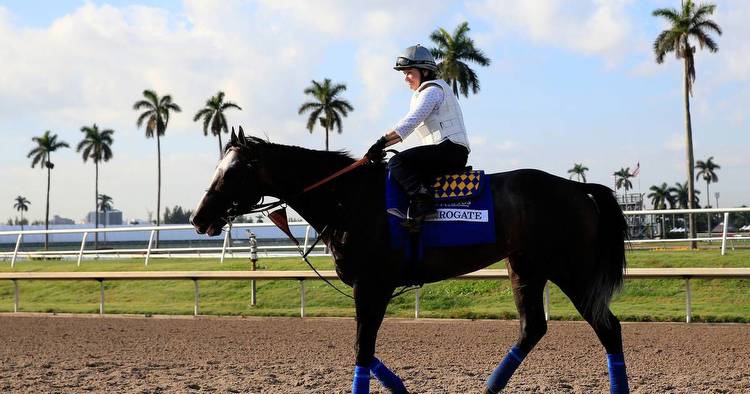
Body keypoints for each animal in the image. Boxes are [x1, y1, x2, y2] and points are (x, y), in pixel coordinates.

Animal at [191, 129, 632, 394]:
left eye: (232, 172)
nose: (198, 218)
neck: (349, 199)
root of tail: (575, 186)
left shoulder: (372, 285)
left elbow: (362, 349)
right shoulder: (371, 288)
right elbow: (365, 349)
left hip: (572, 271)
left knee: (608, 329)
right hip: (525, 269)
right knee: (532, 329)